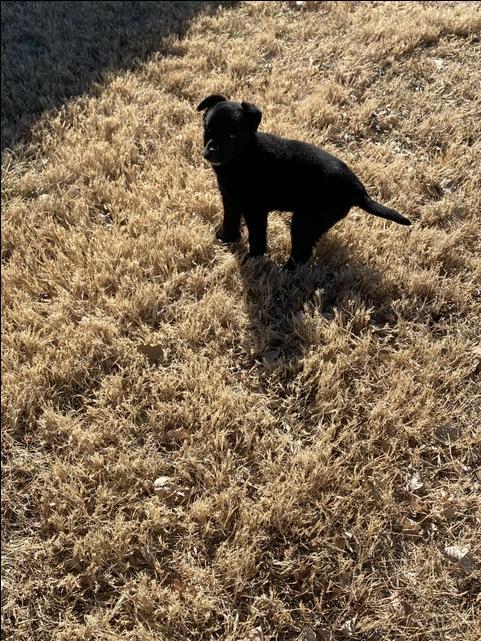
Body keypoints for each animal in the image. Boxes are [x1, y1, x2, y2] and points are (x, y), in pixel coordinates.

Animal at [197, 92, 410, 268]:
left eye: (232, 135)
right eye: (207, 129)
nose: (210, 152)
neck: (242, 157)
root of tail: (358, 190)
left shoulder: (256, 211)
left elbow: (257, 239)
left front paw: (251, 260)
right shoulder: (230, 200)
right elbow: (230, 220)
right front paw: (226, 239)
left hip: (304, 221)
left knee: (302, 253)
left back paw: (285, 272)